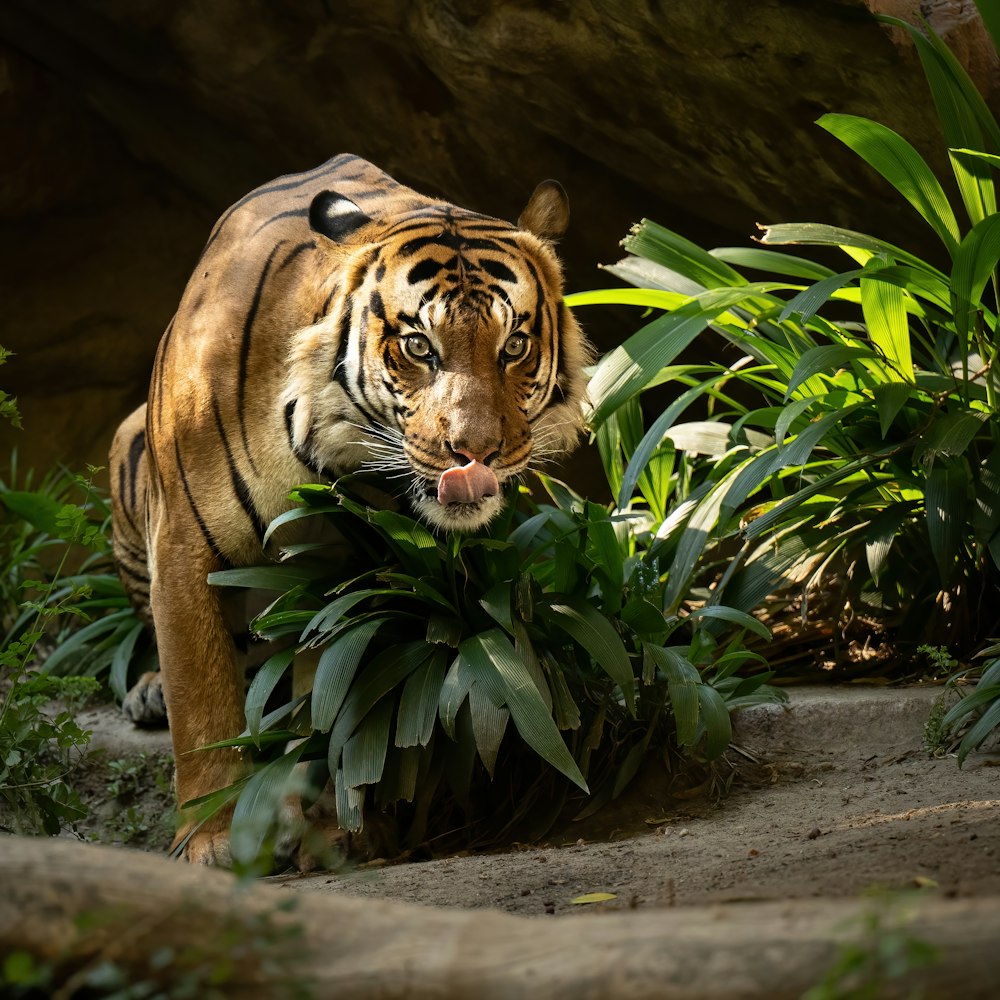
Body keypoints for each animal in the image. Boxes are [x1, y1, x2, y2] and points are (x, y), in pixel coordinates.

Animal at [109, 152, 592, 864]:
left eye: (513, 346)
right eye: (419, 346)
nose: (474, 452)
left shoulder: (348, 569)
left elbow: (328, 698)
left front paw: (334, 829)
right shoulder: (182, 545)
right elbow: (202, 700)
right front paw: (211, 841)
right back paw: (149, 692)